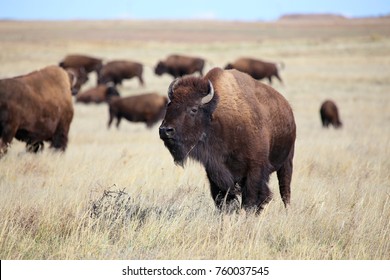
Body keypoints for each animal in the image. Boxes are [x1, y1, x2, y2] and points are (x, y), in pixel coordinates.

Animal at [158, 66, 296, 213]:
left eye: (194, 109)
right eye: (169, 105)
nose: (165, 130)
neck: (214, 116)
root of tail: (288, 107)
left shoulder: (255, 169)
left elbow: (250, 200)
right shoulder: (214, 171)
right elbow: (224, 200)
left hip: (287, 162)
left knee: (285, 191)